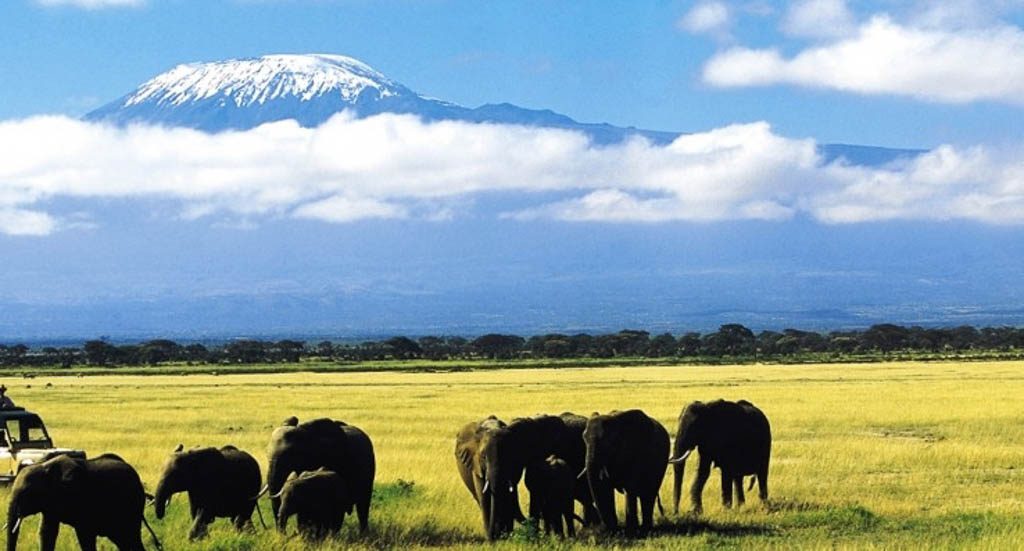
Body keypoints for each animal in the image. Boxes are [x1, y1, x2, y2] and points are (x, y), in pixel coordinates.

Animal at [6, 453, 161, 551]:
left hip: (132, 506)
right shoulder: (51, 503)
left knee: (130, 537)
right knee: (123, 541)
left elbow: (84, 535)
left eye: (27, 493)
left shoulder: (82, 497)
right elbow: (47, 532)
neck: (44, 466)